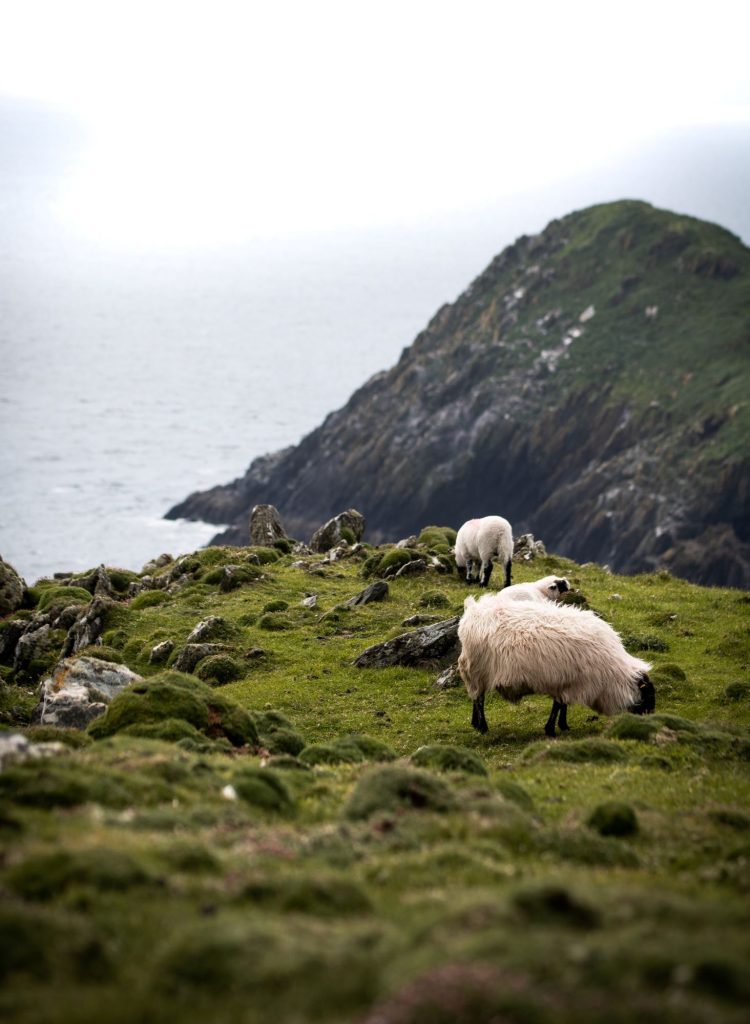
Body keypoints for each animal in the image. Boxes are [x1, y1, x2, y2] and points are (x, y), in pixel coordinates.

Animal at [454, 598, 651, 737]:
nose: (650, 718)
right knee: (479, 699)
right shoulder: (569, 683)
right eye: (647, 694)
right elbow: (558, 705)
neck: (613, 673)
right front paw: (551, 729)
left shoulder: (567, 683)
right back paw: (482, 726)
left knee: (476, 698)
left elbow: (562, 705)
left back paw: (475, 723)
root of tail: (472, 611)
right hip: (476, 671)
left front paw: (562, 725)